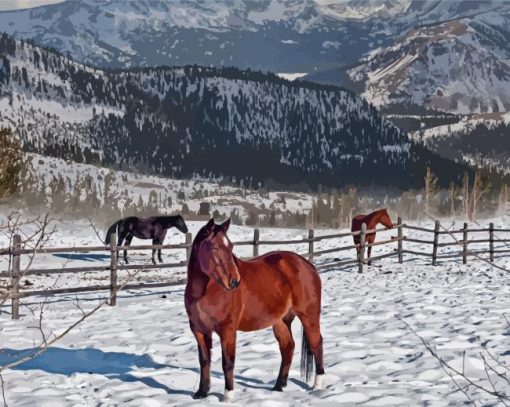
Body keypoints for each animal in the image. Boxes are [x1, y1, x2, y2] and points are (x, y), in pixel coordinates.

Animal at [185, 218, 324, 404]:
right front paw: (201, 393)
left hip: (309, 315)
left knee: (317, 344)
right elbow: (204, 361)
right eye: (213, 248)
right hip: (280, 321)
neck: (206, 291)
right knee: (288, 347)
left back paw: (318, 386)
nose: (234, 282)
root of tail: (307, 264)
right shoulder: (199, 331)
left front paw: (228, 396)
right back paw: (278, 386)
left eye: (230, 247)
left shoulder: (227, 330)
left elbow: (227, 362)